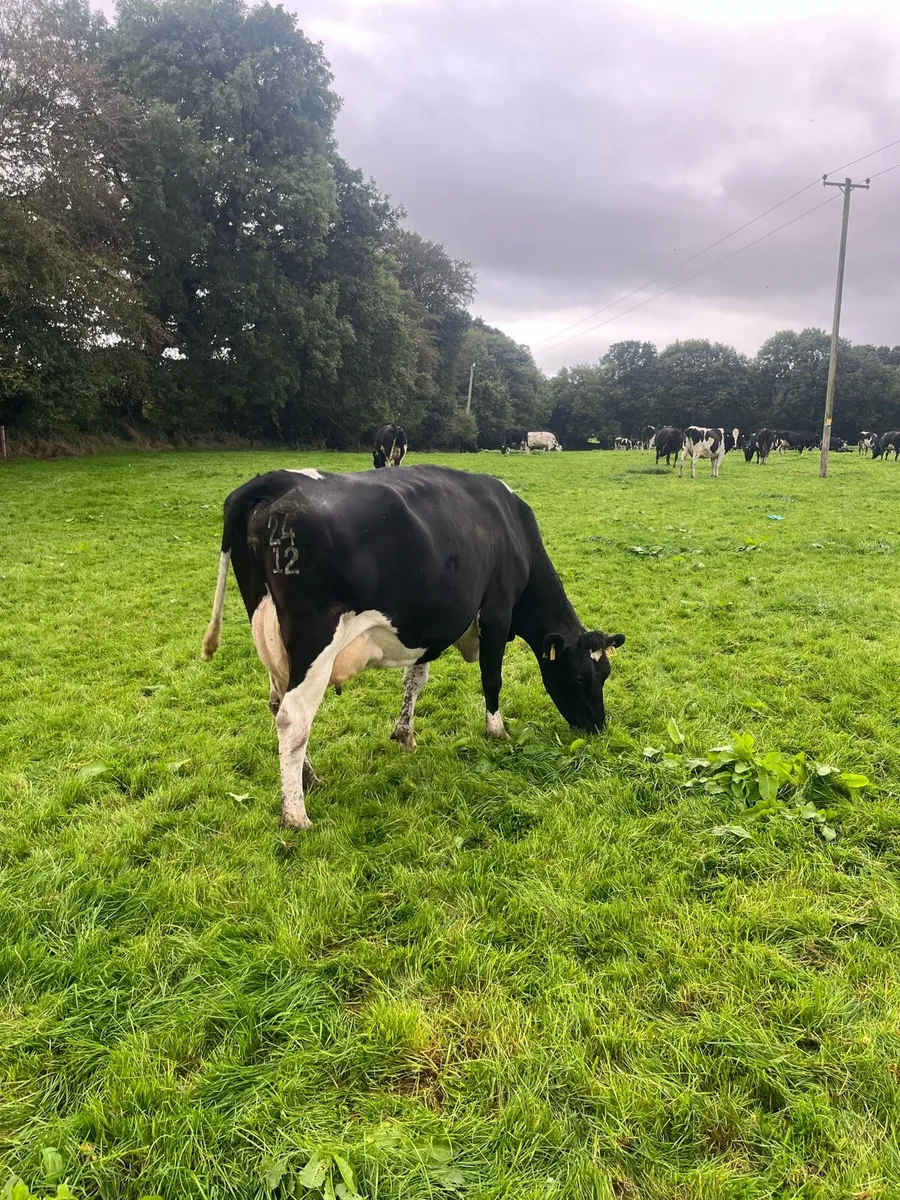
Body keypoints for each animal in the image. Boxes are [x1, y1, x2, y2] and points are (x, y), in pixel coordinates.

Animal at [201, 466, 625, 829]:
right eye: (578, 677)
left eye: (605, 674)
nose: (598, 727)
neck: (512, 529)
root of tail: (276, 481)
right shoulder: (497, 612)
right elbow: (492, 678)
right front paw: (497, 730)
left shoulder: (428, 631)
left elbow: (415, 680)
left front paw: (405, 733)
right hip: (314, 642)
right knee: (293, 718)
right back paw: (295, 815)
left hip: (272, 642)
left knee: (277, 706)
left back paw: (309, 779)